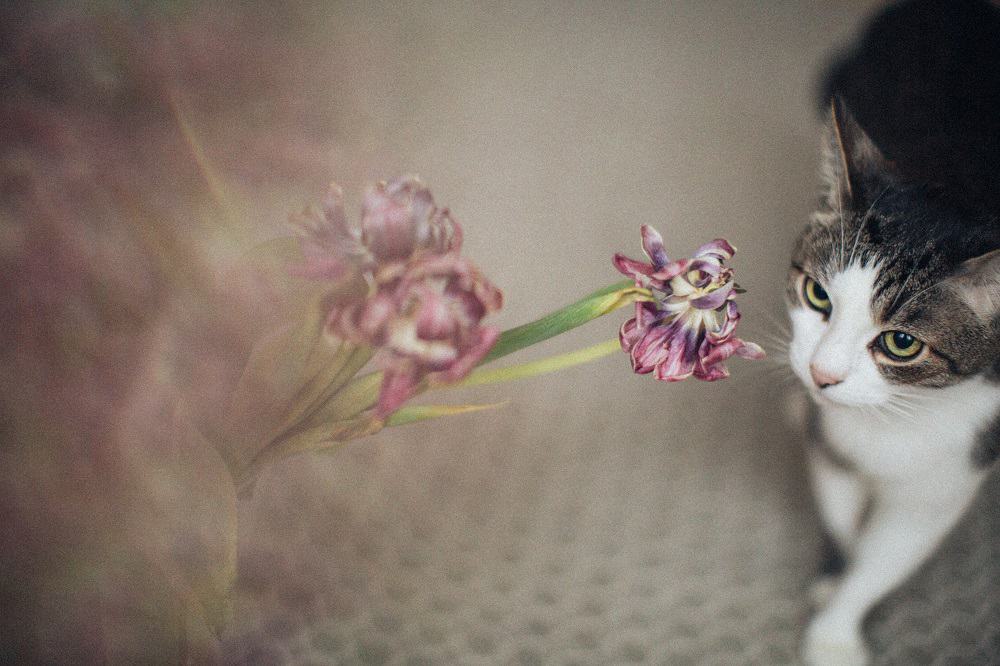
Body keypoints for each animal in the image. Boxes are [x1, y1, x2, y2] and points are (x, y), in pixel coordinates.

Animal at [788, 96, 1000, 660]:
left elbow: (889, 553)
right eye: (817, 294)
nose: (820, 374)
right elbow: (841, 514)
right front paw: (834, 575)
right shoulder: (831, 442)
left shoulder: (953, 466)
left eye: (901, 343)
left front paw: (835, 633)